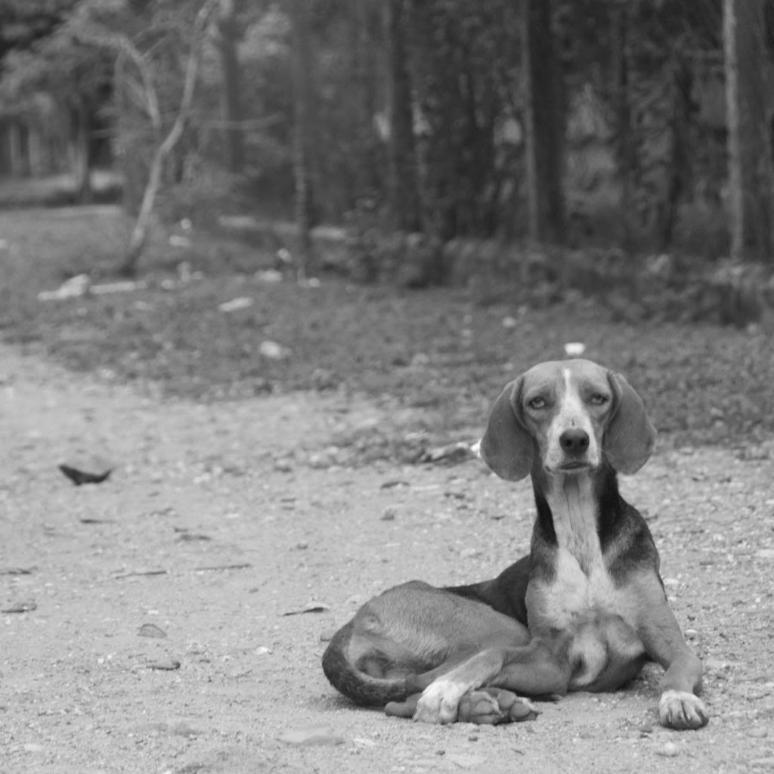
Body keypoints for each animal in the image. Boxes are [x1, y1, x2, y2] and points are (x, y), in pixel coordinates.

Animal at [324, 360, 712, 732]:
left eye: (598, 398)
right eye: (537, 402)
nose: (574, 439)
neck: (580, 534)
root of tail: (356, 619)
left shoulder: (665, 642)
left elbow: (679, 669)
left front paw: (679, 700)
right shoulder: (551, 660)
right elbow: (491, 658)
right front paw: (449, 689)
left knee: (404, 694)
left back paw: (491, 704)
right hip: (499, 628)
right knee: (410, 692)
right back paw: (478, 702)